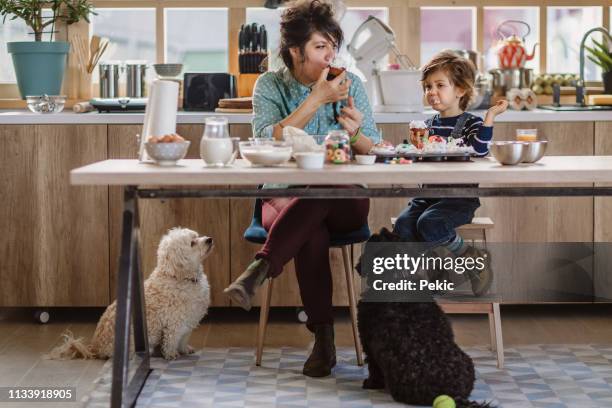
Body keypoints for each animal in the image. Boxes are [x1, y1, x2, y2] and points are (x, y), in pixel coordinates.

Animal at [47, 230, 213, 360]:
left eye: (197, 236)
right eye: (192, 243)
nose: (209, 239)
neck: (180, 277)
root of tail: (95, 347)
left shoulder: (189, 321)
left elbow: (183, 339)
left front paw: (185, 350)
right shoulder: (174, 323)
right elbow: (172, 341)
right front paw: (171, 355)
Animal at [358, 228, 492, 408]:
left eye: (374, 241)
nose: (383, 229)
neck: (396, 278)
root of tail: (451, 393)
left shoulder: (367, 341)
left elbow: (373, 367)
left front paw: (371, 383)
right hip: (468, 361)